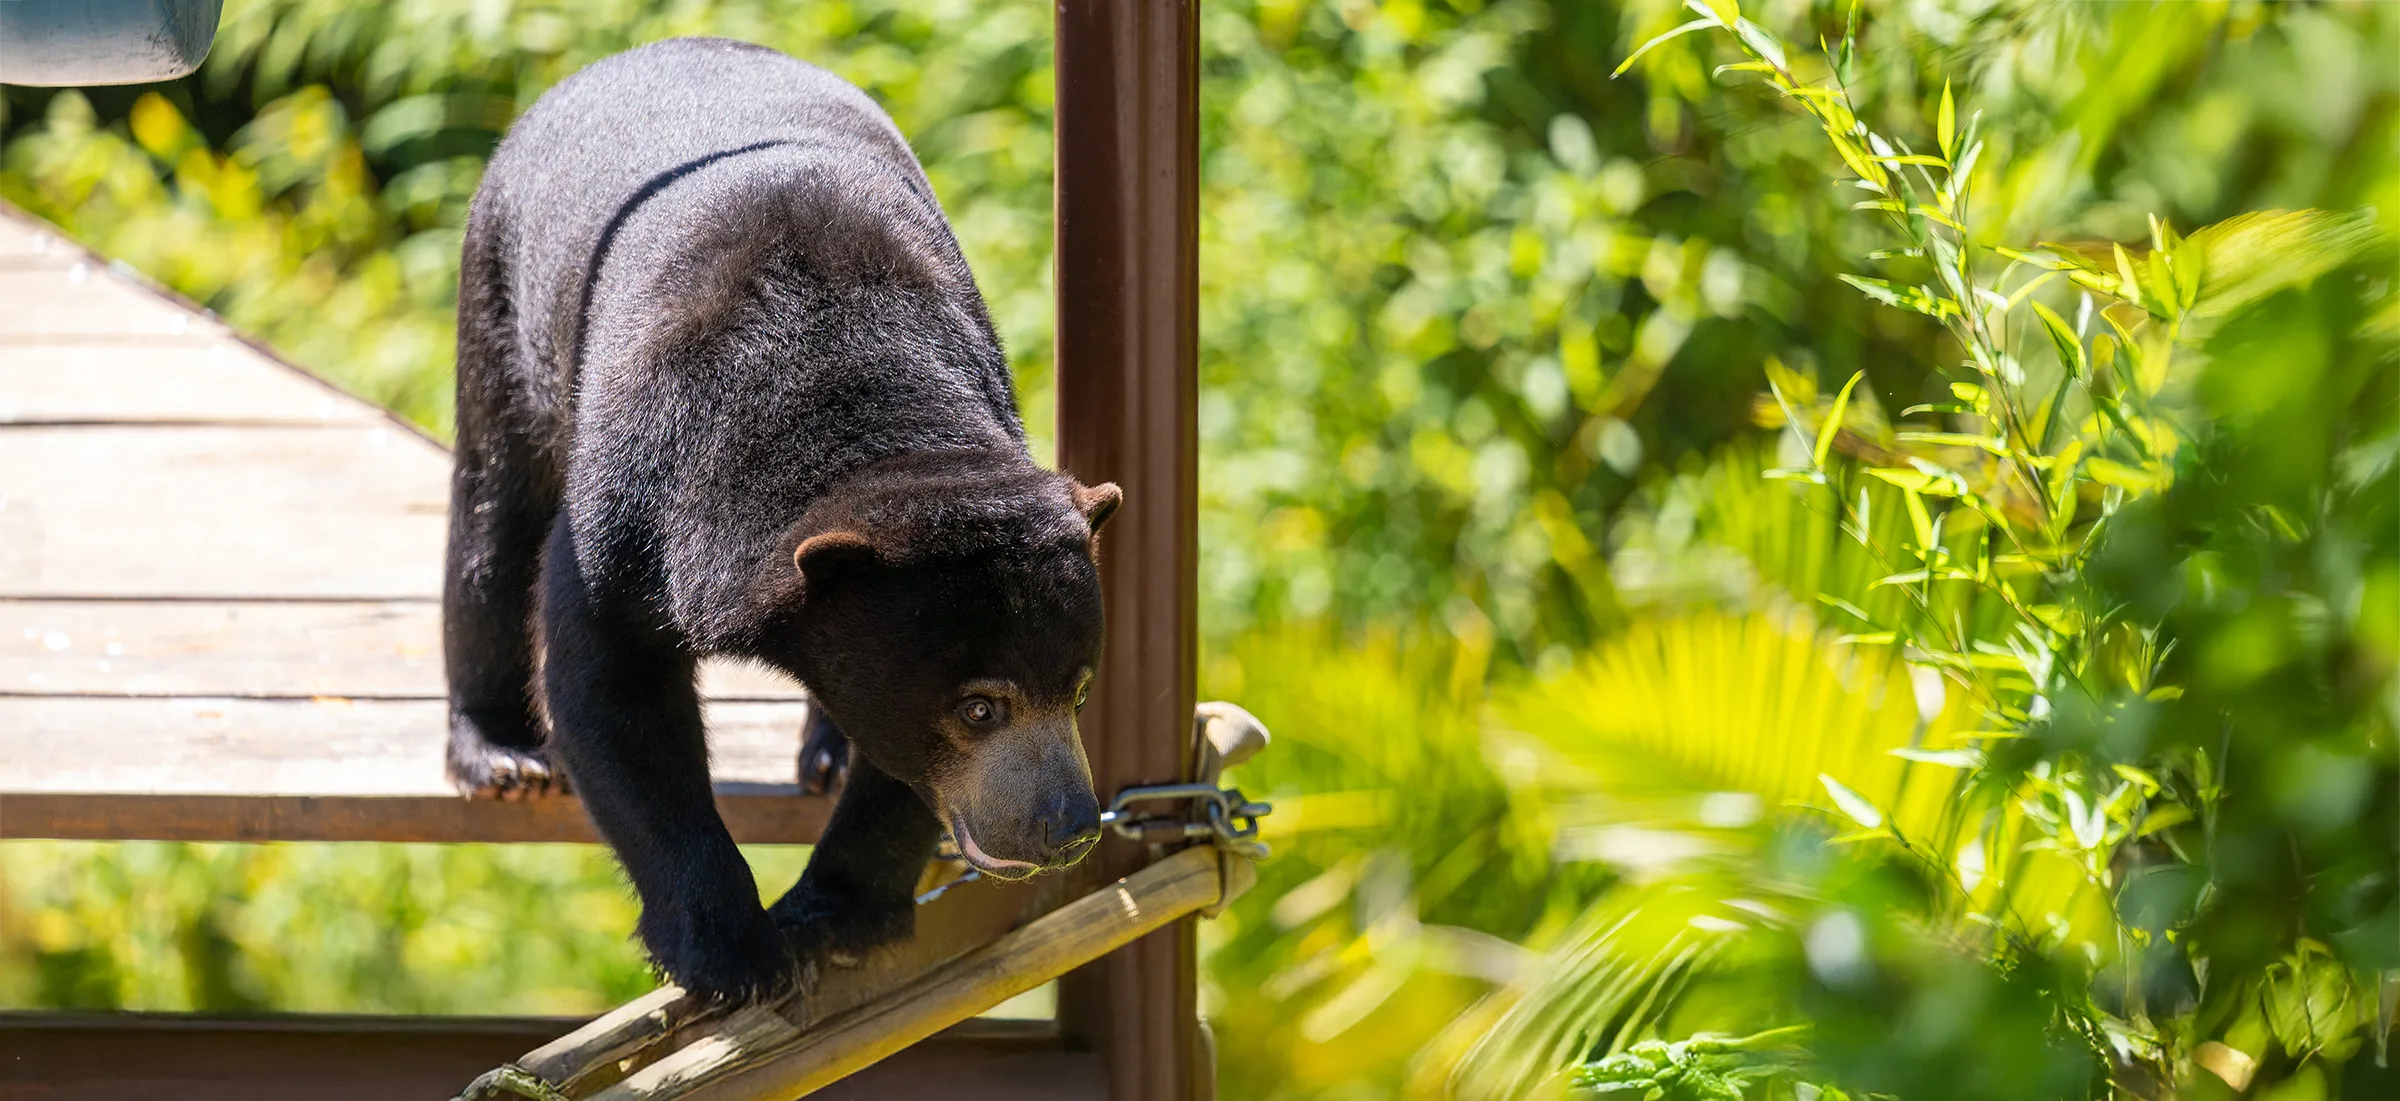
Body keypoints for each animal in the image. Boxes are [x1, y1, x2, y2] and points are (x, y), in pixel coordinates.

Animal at [440, 37, 1116, 1004]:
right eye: (980, 707)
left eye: (1083, 689)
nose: (1069, 826)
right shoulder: (634, 493)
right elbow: (612, 685)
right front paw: (728, 952)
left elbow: (893, 769)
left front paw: (834, 916)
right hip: (502, 301)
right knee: (492, 513)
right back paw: (498, 751)